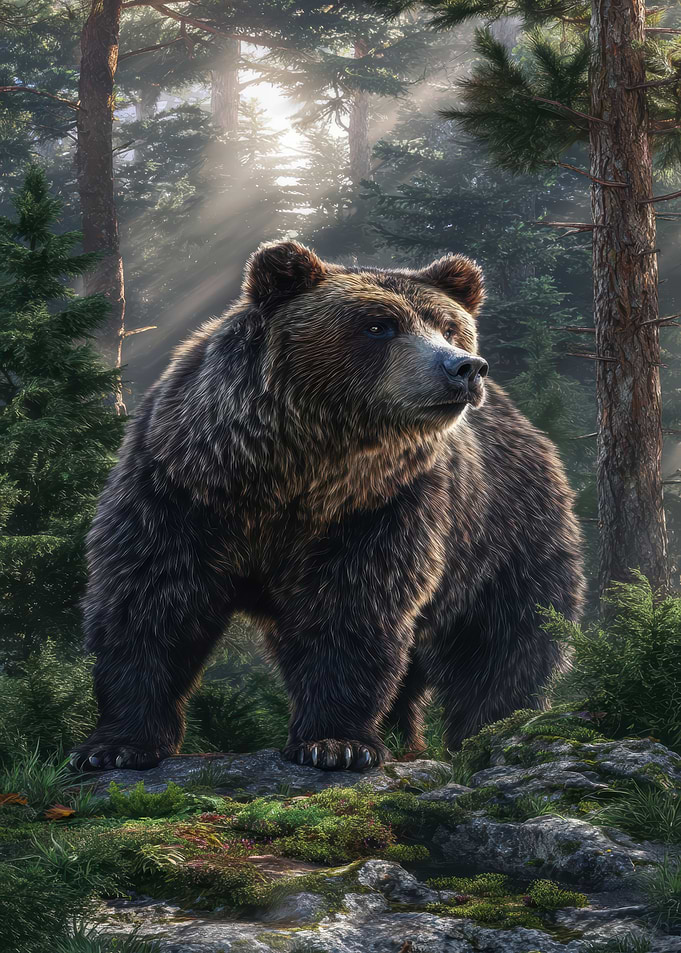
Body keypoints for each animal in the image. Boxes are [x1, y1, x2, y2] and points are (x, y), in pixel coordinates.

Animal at [69, 240, 585, 773]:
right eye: (379, 325)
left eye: (448, 326)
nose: (465, 367)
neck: (293, 475)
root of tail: (531, 429)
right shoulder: (180, 489)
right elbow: (150, 600)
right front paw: (116, 746)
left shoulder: (382, 506)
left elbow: (352, 610)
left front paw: (337, 743)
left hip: (505, 536)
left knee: (503, 643)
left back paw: (495, 732)